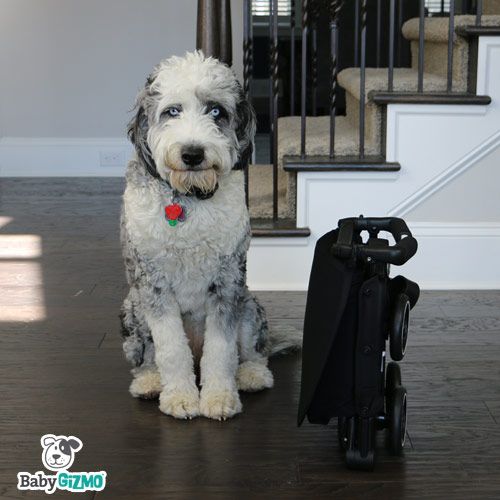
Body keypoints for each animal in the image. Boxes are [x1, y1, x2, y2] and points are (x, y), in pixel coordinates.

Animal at [120, 51, 300, 418]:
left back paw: (251, 375)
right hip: (133, 309)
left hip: (249, 305)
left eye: (216, 111)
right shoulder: (153, 283)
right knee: (148, 356)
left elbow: (221, 349)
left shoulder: (227, 280)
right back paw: (150, 381)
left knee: (252, 352)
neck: (189, 197)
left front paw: (218, 398)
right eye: (172, 111)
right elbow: (171, 348)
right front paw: (180, 398)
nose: (192, 153)